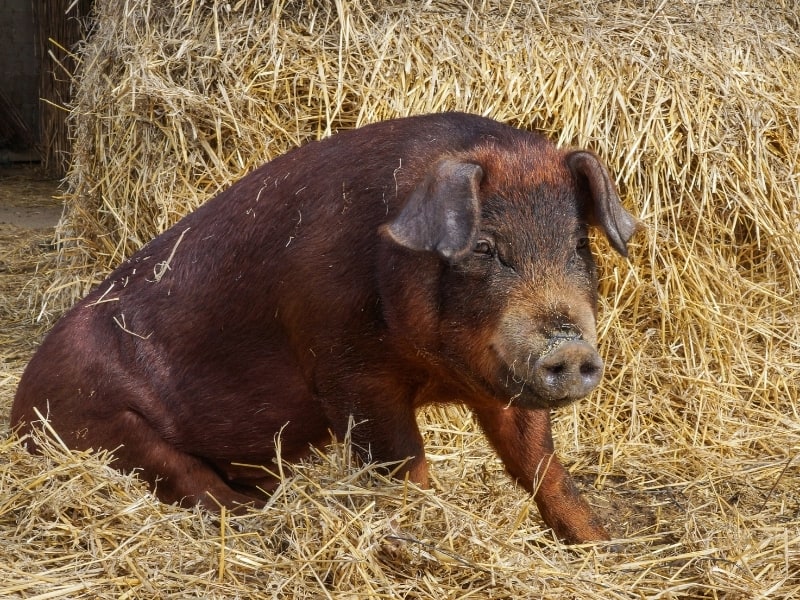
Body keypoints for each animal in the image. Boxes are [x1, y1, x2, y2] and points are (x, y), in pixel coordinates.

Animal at [12, 112, 640, 544]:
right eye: (484, 247)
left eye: (578, 245)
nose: (570, 348)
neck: (437, 372)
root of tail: (19, 407)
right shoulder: (349, 371)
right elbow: (402, 464)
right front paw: (419, 534)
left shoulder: (502, 384)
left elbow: (541, 466)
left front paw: (602, 545)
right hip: (111, 426)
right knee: (198, 490)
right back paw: (259, 523)